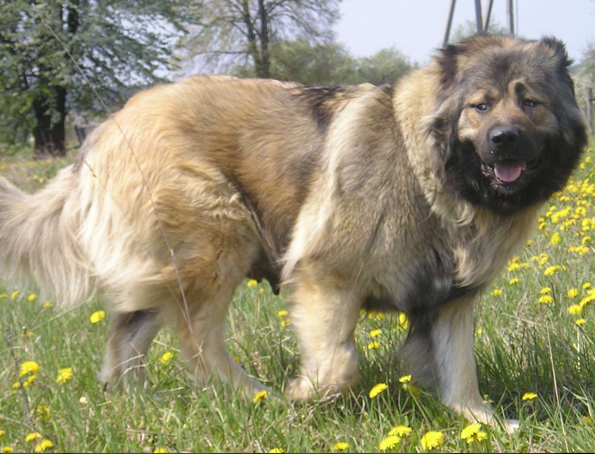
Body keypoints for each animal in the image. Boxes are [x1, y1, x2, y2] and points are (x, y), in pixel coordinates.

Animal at [0, 34, 588, 426]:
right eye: (480, 106)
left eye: (530, 102)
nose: (504, 139)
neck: (428, 170)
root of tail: (105, 127)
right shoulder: (325, 276)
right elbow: (337, 365)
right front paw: (304, 394)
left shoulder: (451, 299)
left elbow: (459, 368)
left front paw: (483, 422)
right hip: (220, 236)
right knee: (198, 342)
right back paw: (251, 394)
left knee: (127, 337)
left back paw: (140, 404)